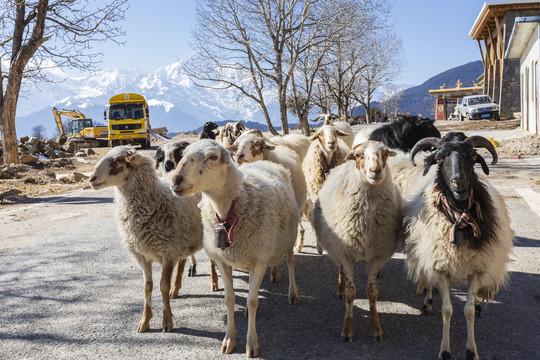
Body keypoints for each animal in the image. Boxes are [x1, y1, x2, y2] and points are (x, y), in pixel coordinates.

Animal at [89, 146, 206, 332]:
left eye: (119, 160)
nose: (91, 179)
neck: (155, 201)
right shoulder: (143, 256)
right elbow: (147, 288)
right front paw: (144, 321)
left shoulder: (168, 254)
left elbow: (163, 287)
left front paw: (167, 321)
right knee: (183, 261)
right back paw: (176, 288)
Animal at [170, 139, 300, 358]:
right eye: (183, 153)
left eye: (213, 156)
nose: (175, 180)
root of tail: (267, 163)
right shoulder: (223, 261)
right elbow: (229, 300)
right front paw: (229, 339)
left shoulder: (259, 261)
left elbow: (253, 301)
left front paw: (252, 343)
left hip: (289, 239)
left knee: (290, 263)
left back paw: (293, 293)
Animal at [312, 141, 400, 344]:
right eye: (359, 155)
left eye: (385, 153)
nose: (375, 170)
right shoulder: (346, 256)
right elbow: (351, 294)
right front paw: (347, 329)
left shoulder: (376, 257)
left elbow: (372, 292)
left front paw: (376, 328)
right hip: (336, 247)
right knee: (340, 270)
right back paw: (340, 288)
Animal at [404, 133, 516, 360]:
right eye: (438, 159)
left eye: (473, 158)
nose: (458, 182)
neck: (460, 220)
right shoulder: (440, 268)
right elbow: (447, 310)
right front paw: (445, 351)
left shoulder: (477, 269)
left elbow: (469, 311)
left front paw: (471, 350)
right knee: (429, 282)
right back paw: (428, 302)